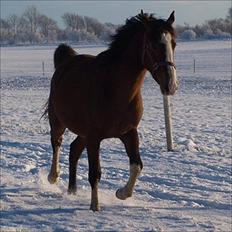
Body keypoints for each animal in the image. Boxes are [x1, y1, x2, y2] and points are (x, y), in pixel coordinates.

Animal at [43, 10, 178, 211]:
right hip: (58, 121)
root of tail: (66, 62)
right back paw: (53, 176)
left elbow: (137, 165)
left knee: (74, 150)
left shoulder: (129, 132)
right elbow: (95, 172)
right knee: (57, 143)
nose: (171, 85)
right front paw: (95, 206)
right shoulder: (94, 138)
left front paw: (121, 193)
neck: (115, 89)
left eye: (173, 44)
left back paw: (72, 190)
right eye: (153, 44)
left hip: (82, 133)